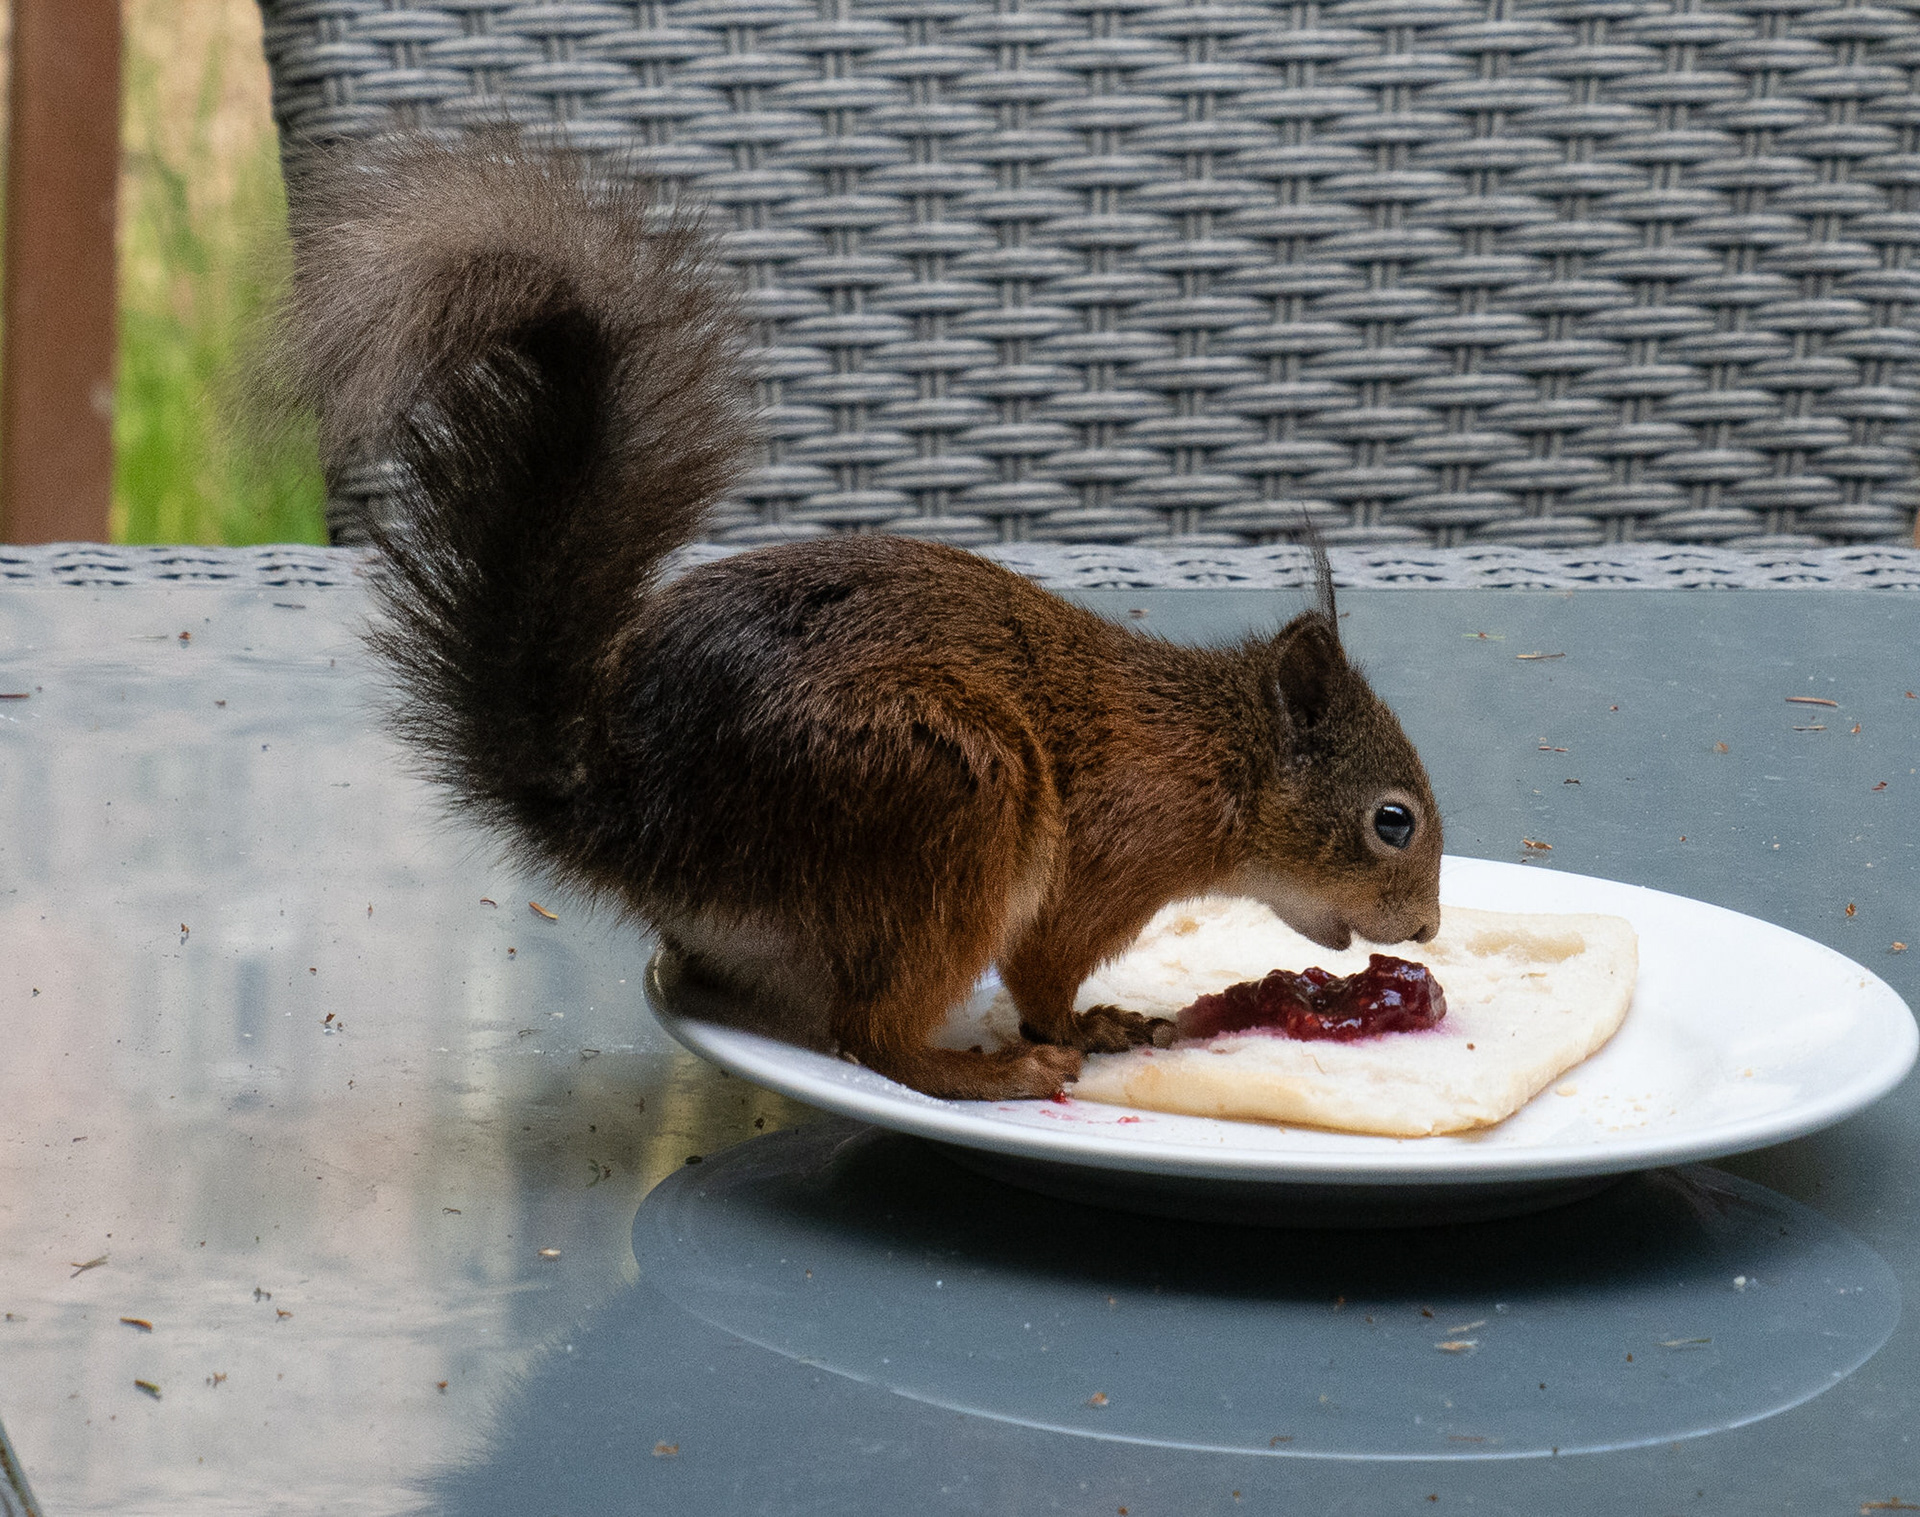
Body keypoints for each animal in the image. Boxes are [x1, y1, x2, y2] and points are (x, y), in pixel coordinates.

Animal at [268, 134, 1443, 1102]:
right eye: (1393, 820)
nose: (1429, 929)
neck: (1211, 753)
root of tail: (636, 822)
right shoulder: (1107, 860)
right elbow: (1045, 973)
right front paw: (1094, 1023)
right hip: (949, 800)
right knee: (874, 1034)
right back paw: (988, 1072)